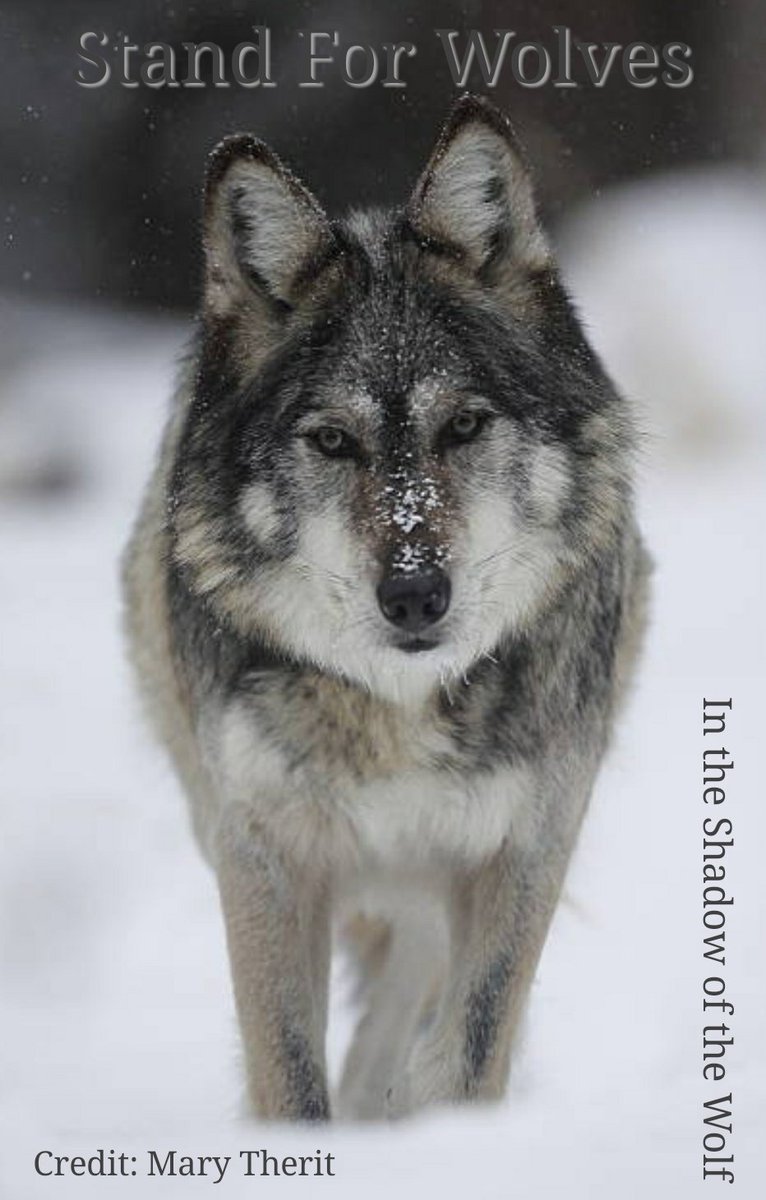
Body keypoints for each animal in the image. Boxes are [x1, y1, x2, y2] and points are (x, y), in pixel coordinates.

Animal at [122, 94, 650, 1121]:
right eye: (333, 441)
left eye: (465, 426)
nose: (413, 594)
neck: (399, 712)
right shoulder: (264, 853)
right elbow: (290, 1074)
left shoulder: (527, 842)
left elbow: (471, 1050)